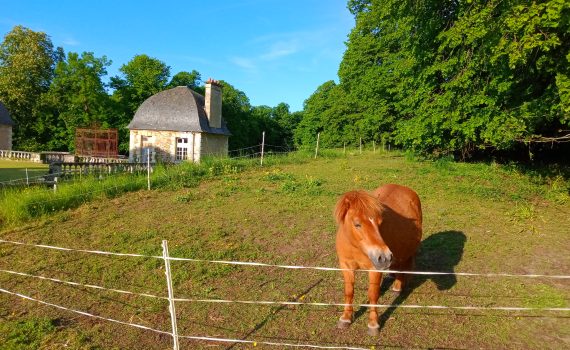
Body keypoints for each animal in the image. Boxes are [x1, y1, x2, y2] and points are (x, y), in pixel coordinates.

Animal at [332, 183, 422, 334]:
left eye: (379, 223)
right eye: (357, 224)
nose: (384, 257)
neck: (356, 247)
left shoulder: (374, 269)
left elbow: (373, 295)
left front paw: (373, 324)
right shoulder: (346, 266)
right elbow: (349, 292)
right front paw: (345, 318)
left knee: (403, 266)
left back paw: (397, 287)